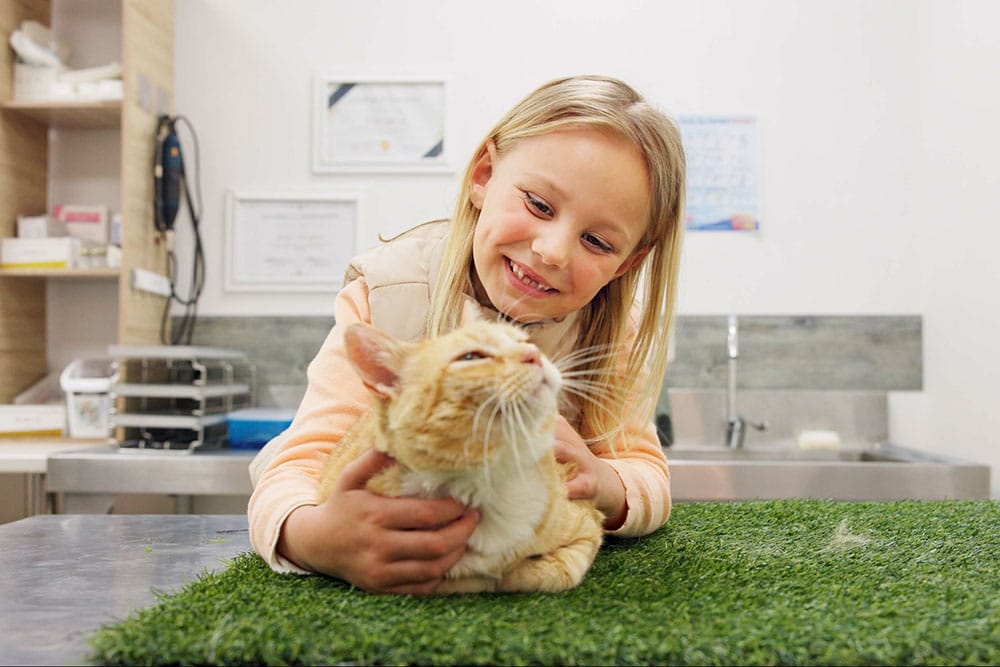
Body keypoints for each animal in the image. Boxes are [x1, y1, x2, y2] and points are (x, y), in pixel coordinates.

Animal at [318, 306, 600, 592]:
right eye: (471, 357)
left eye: (525, 342)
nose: (533, 355)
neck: (485, 480)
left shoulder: (588, 529)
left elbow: (546, 573)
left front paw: (510, 572)